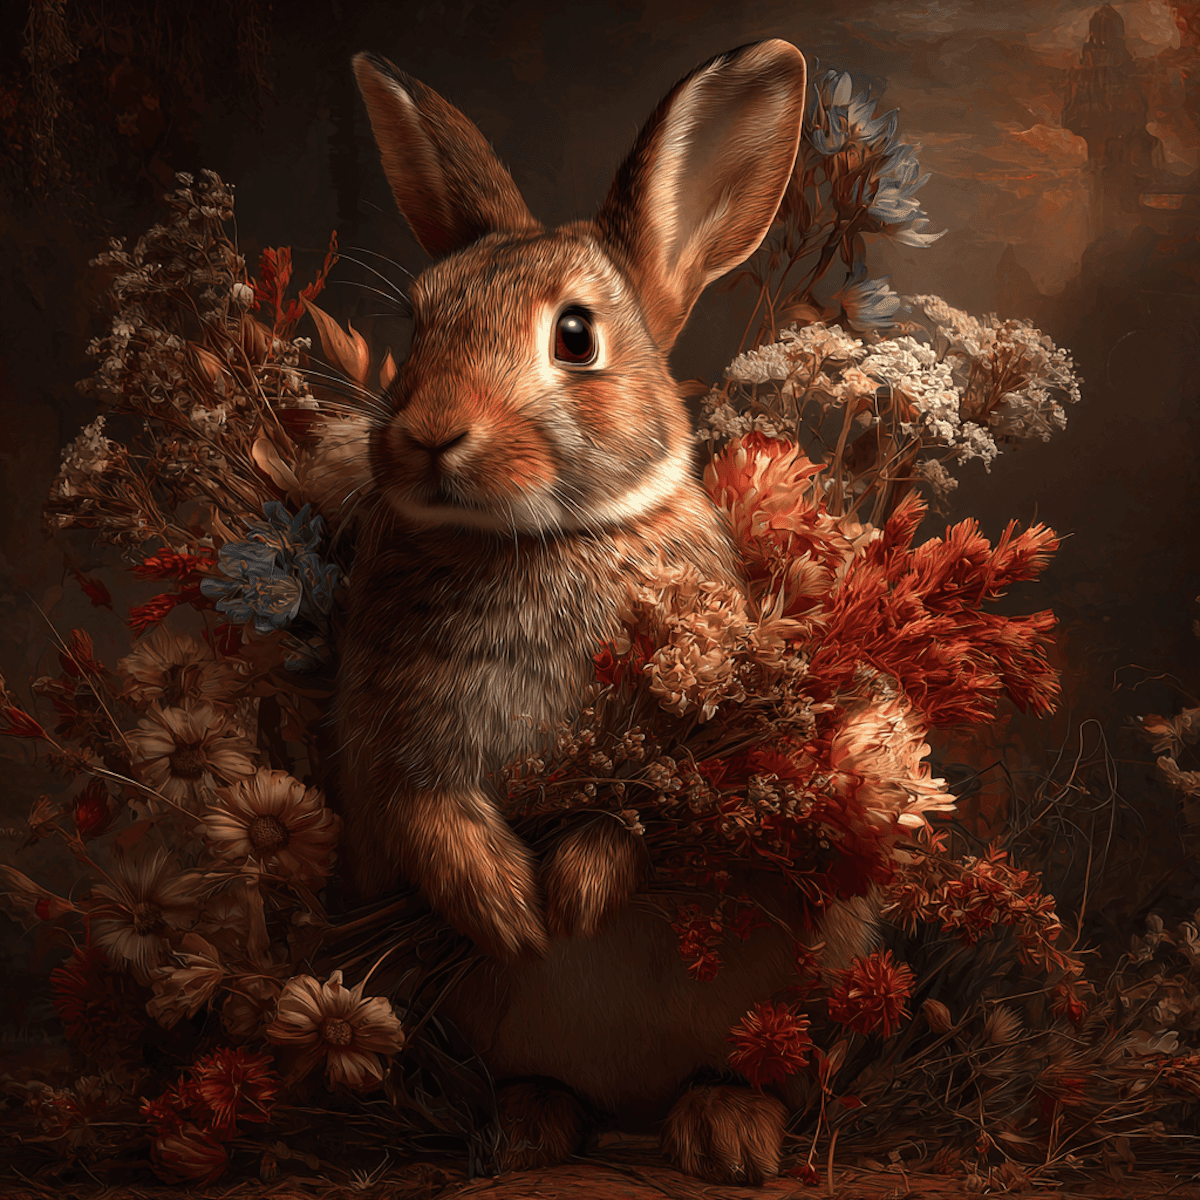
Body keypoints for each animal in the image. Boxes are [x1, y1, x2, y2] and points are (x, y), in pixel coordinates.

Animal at [335, 40, 877, 1184]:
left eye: (575, 337)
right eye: (418, 321)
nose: (429, 433)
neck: (532, 539)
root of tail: (632, 1099)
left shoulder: (679, 749)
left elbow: (630, 817)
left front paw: (571, 902)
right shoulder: (385, 746)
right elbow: (421, 813)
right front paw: (509, 911)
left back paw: (727, 1131)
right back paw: (531, 1127)